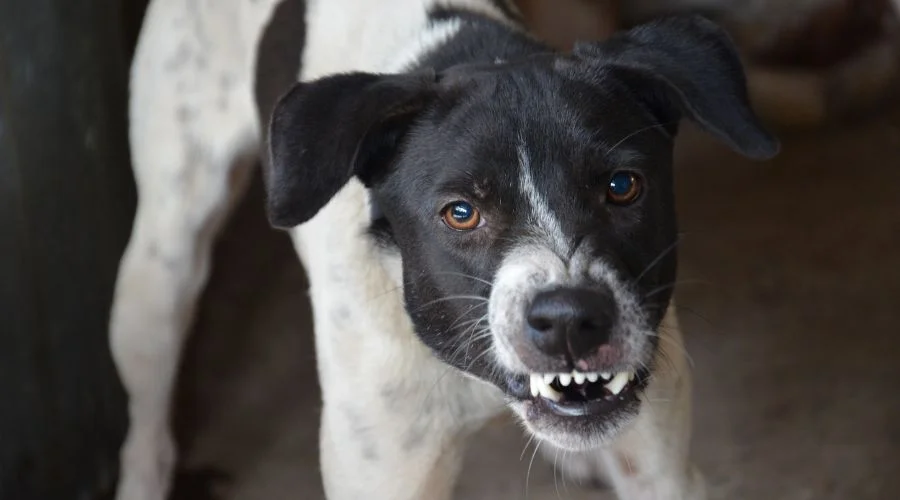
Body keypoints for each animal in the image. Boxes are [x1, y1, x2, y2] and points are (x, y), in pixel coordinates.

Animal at [109, 0, 776, 498]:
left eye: (622, 186)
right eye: (460, 212)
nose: (570, 320)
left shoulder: (661, 469)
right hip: (162, 263)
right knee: (146, 415)